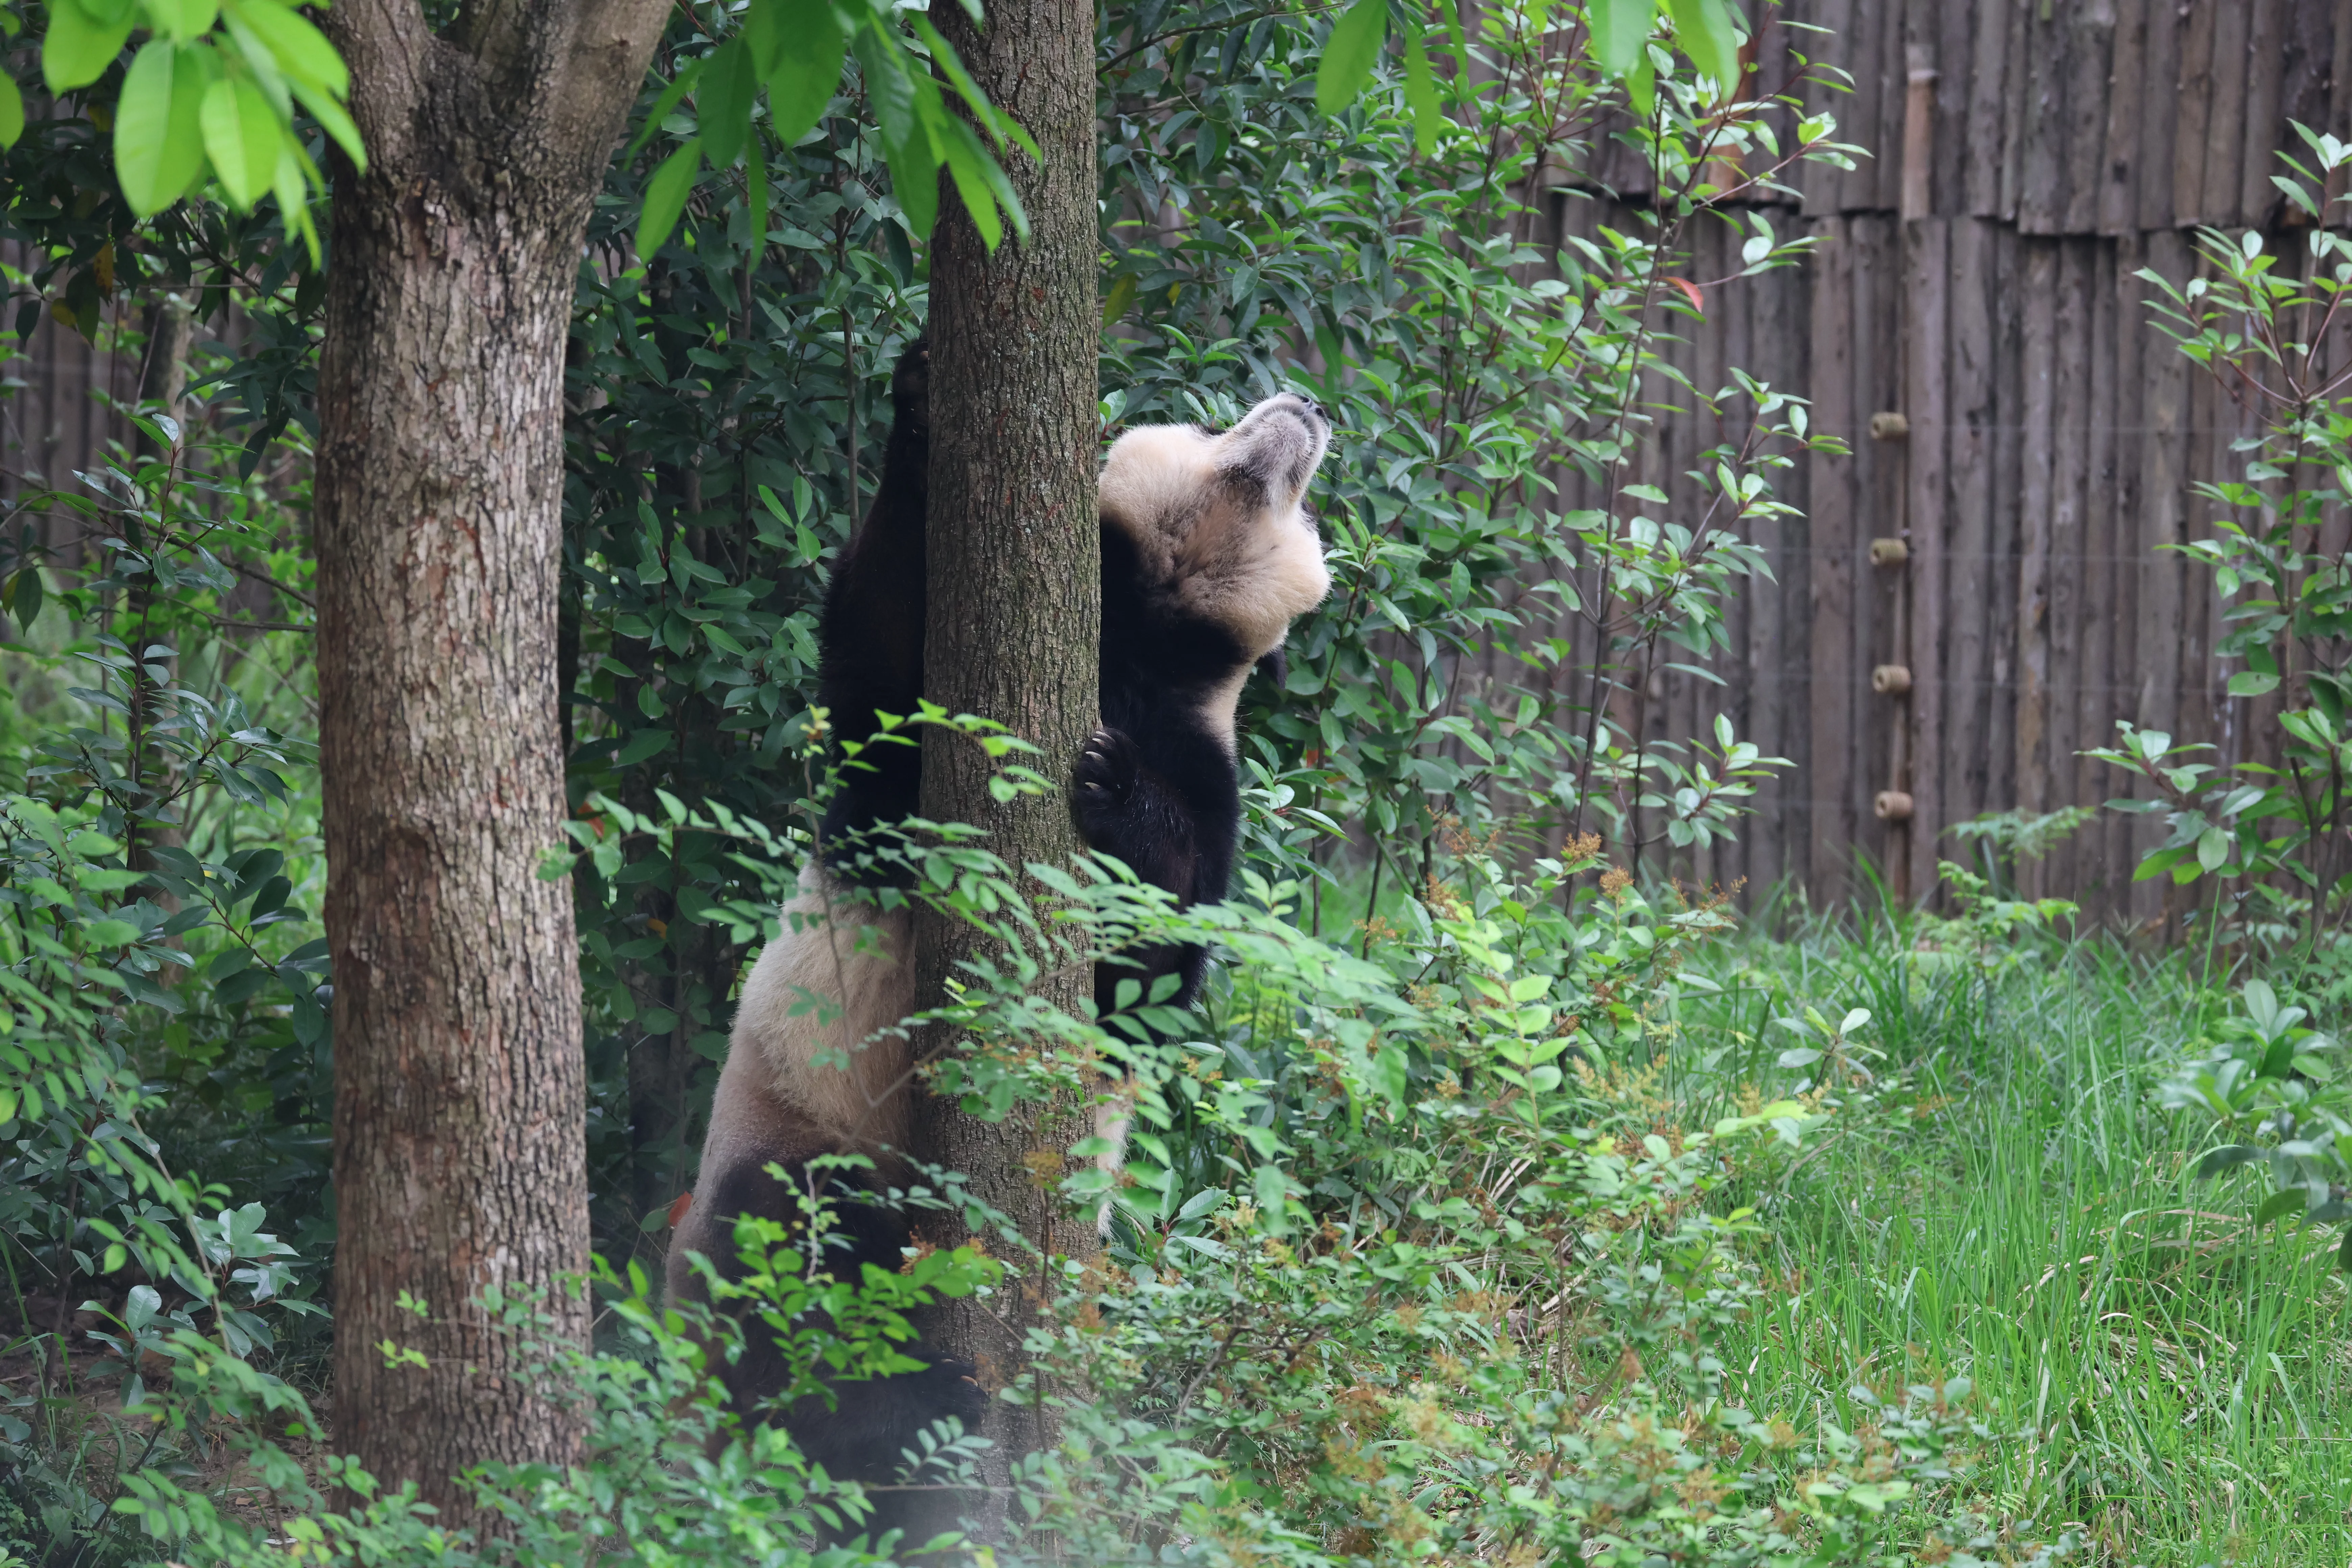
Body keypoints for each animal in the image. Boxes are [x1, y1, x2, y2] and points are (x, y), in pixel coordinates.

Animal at [664, 339, 1333, 1510]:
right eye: (1213, 425)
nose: (1304, 404)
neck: (1145, 641)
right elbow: (881, 664)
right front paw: (924, 401)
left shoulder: (1211, 771)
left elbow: (1151, 969)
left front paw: (1113, 787)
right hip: (799, 1122)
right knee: (801, 1253)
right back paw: (903, 1414)